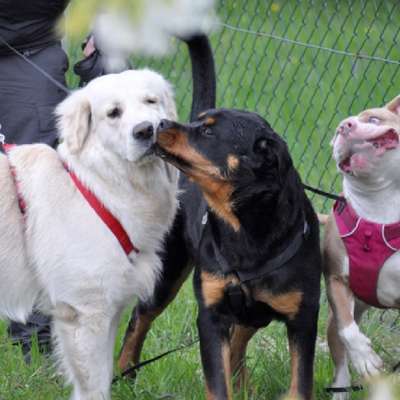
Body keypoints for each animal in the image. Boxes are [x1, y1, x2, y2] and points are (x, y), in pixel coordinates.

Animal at [0, 69, 178, 400]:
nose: (145, 131)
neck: (101, 188)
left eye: (151, 101)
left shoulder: (109, 311)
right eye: (113, 113)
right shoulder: (84, 313)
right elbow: (94, 387)